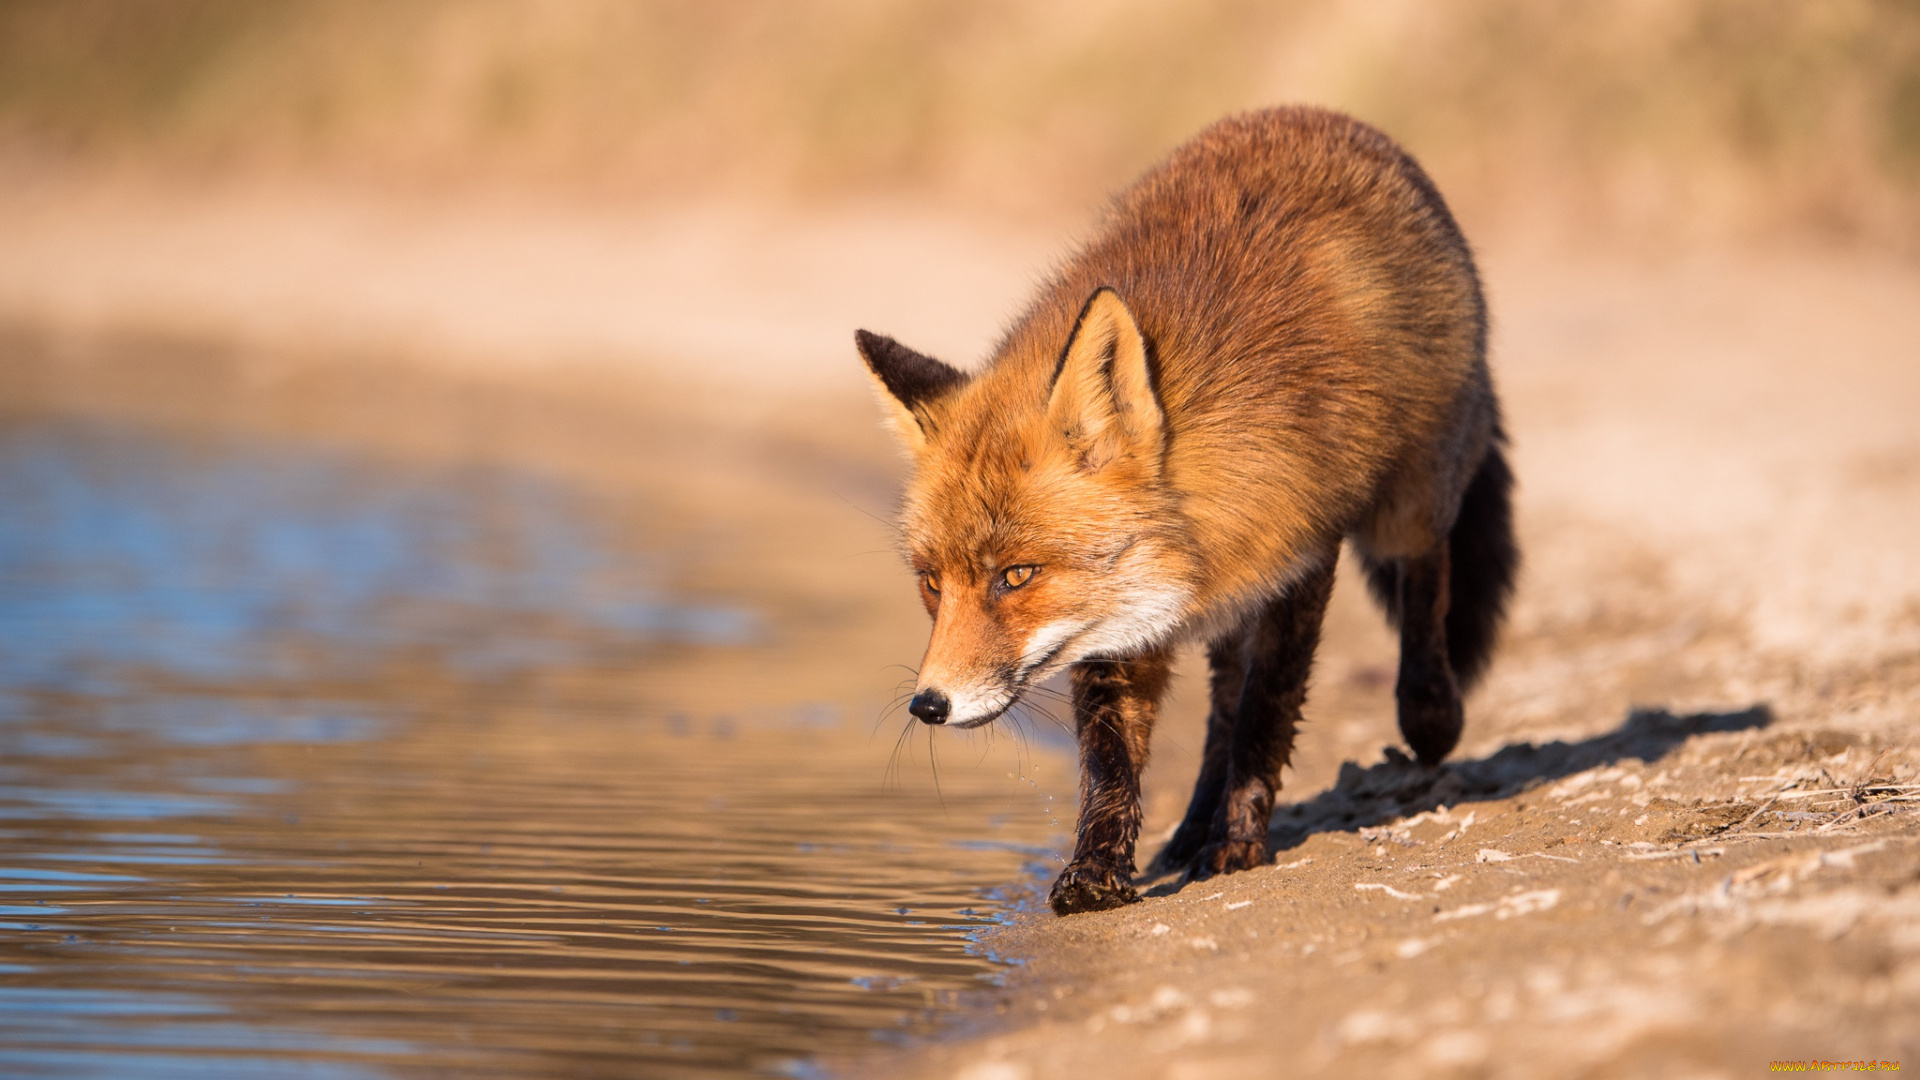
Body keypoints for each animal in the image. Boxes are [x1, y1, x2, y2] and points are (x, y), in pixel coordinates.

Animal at [856, 107, 1512, 914]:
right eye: (931, 583)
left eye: (1016, 575)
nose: (929, 705)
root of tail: (1313, 114)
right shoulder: (1115, 620)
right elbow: (1114, 761)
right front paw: (1098, 870)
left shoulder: (1298, 563)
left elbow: (1266, 717)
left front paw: (1240, 844)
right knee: (1221, 704)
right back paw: (1194, 821)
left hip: (1407, 504)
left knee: (1424, 577)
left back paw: (1428, 714)